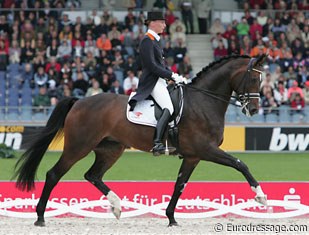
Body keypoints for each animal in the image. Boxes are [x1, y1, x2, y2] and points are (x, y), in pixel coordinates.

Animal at [13, 54, 266, 227]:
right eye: (254, 78)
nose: (254, 109)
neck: (203, 102)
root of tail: (80, 101)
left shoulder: (193, 156)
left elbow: (179, 185)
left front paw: (171, 218)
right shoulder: (206, 149)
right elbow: (240, 164)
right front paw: (261, 196)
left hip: (110, 149)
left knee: (93, 175)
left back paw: (116, 206)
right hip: (78, 146)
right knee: (54, 174)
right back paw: (40, 216)